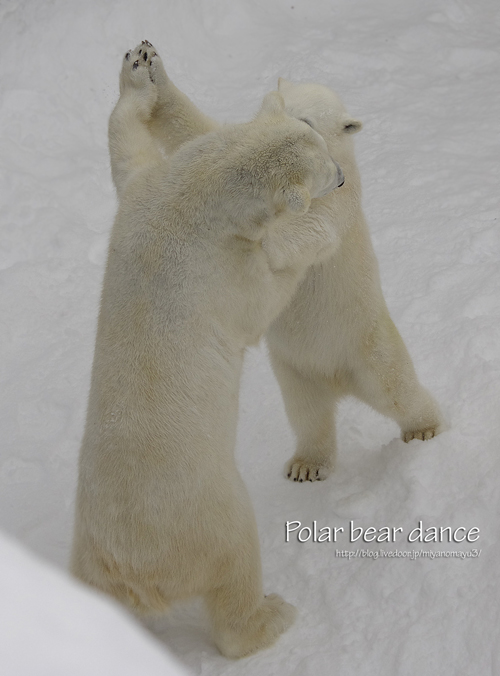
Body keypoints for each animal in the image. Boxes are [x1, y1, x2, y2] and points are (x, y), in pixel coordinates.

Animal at [70, 43, 344, 660]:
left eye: (313, 131)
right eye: (321, 170)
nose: (342, 178)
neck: (190, 200)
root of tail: (128, 571)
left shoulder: (143, 196)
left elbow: (125, 146)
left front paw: (141, 69)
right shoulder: (221, 268)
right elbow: (261, 301)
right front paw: (320, 231)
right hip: (209, 514)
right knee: (235, 568)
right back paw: (272, 615)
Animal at [143, 66, 448, 484]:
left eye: (306, 121)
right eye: (272, 107)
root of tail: (339, 380)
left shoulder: (339, 198)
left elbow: (313, 226)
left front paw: (262, 243)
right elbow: (198, 132)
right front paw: (149, 67)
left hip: (367, 343)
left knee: (397, 391)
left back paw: (425, 429)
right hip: (296, 368)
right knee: (307, 414)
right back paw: (307, 465)